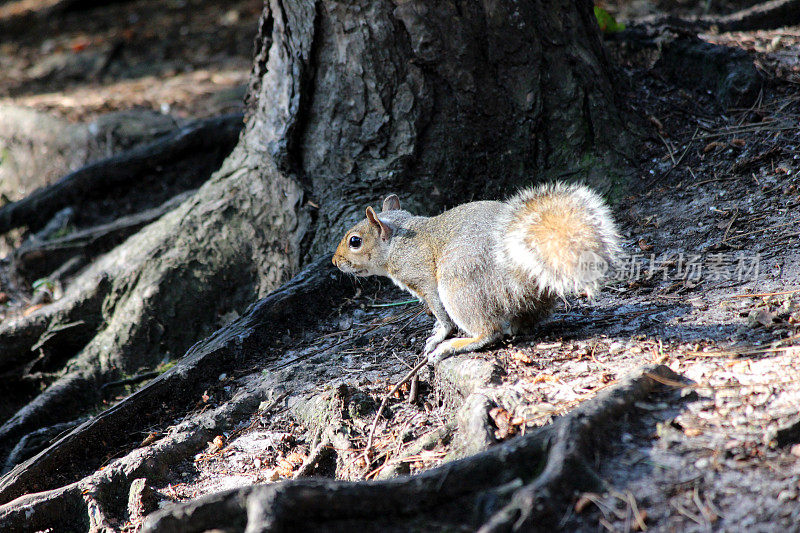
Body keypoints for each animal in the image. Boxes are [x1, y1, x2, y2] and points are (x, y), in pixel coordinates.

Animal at [332, 182, 620, 362]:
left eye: (355, 241)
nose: (335, 262)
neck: (397, 243)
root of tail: (519, 269)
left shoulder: (423, 279)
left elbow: (440, 313)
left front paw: (440, 334)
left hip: (457, 283)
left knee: (489, 332)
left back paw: (454, 345)